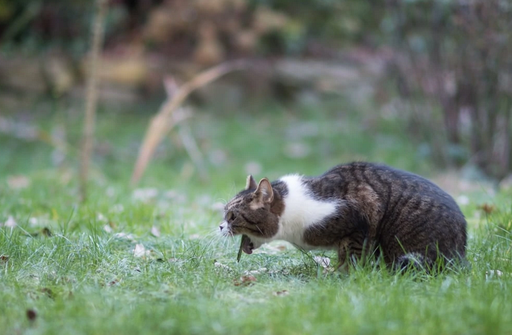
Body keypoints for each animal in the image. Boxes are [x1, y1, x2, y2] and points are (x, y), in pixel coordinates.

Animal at [220, 161, 468, 272]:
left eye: (232, 216)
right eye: (224, 214)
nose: (220, 226)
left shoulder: (359, 217)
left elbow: (350, 255)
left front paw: (342, 275)